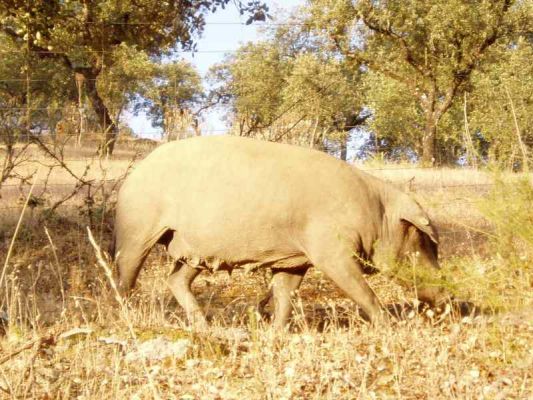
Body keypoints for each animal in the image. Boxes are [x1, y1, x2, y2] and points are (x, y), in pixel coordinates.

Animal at [112, 134, 444, 328]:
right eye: (425, 243)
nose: (444, 290)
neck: (378, 216)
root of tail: (136, 171)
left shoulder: (295, 259)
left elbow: (285, 293)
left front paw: (276, 332)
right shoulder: (331, 252)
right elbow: (361, 291)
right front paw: (390, 328)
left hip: (196, 249)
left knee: (176, 279)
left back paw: (204, 327)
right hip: (137, 227)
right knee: (125, 275)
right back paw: (124, 317)